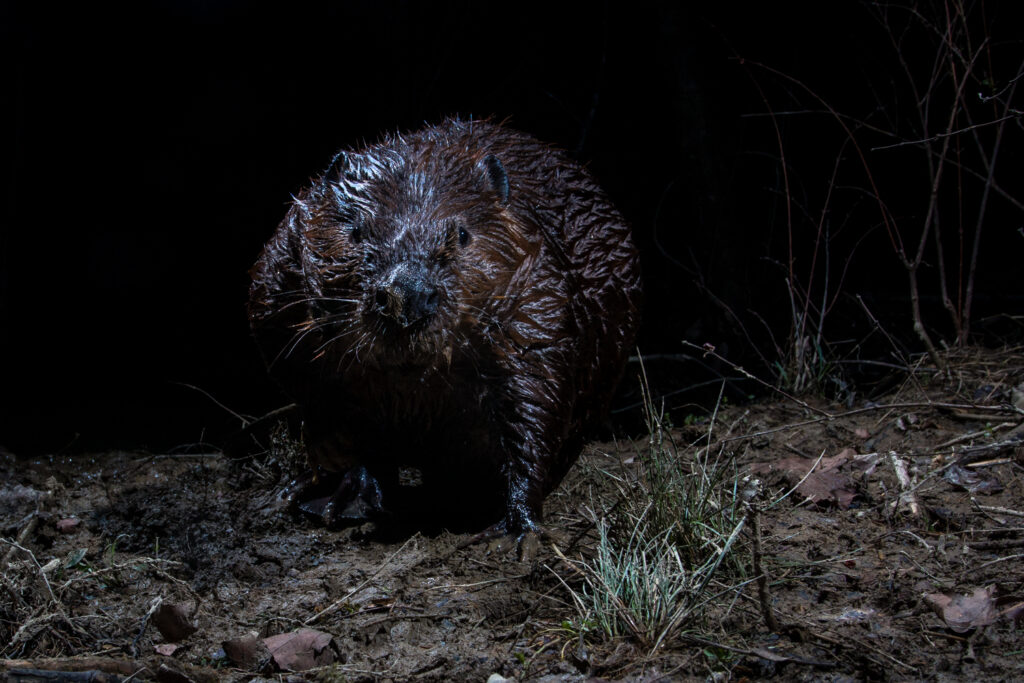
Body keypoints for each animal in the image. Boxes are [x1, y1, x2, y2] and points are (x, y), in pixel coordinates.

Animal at [247, 118, 638, 548]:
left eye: (462, 235)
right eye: (357, 232)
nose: (406, 296)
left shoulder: (537, 298)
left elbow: (536, 402)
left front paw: (517, 527)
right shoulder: (279, 288)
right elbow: (329, 405)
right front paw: (342, 489)